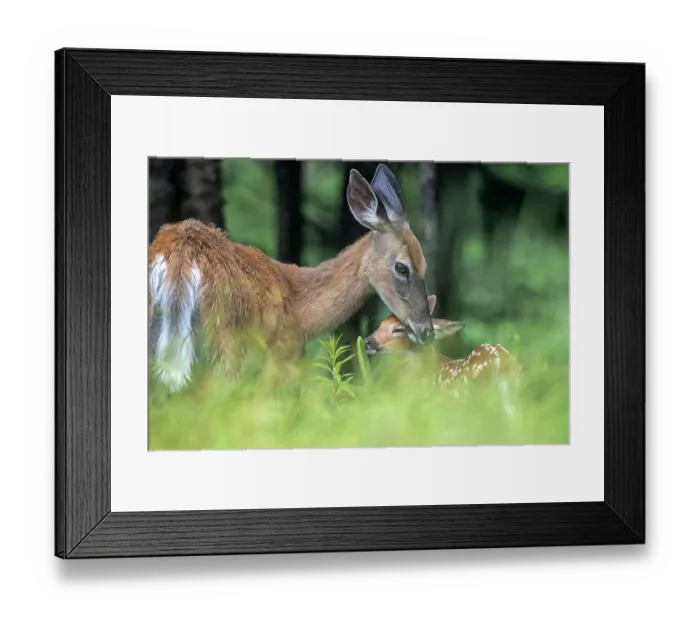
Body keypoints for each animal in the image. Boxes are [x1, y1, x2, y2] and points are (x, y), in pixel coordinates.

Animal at [148, 163, 435, 392]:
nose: (427, 331)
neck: (301, 310)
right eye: (402, 268)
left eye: (425, 264)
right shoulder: (285, 353)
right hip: (224, 336)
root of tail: (182, 248)